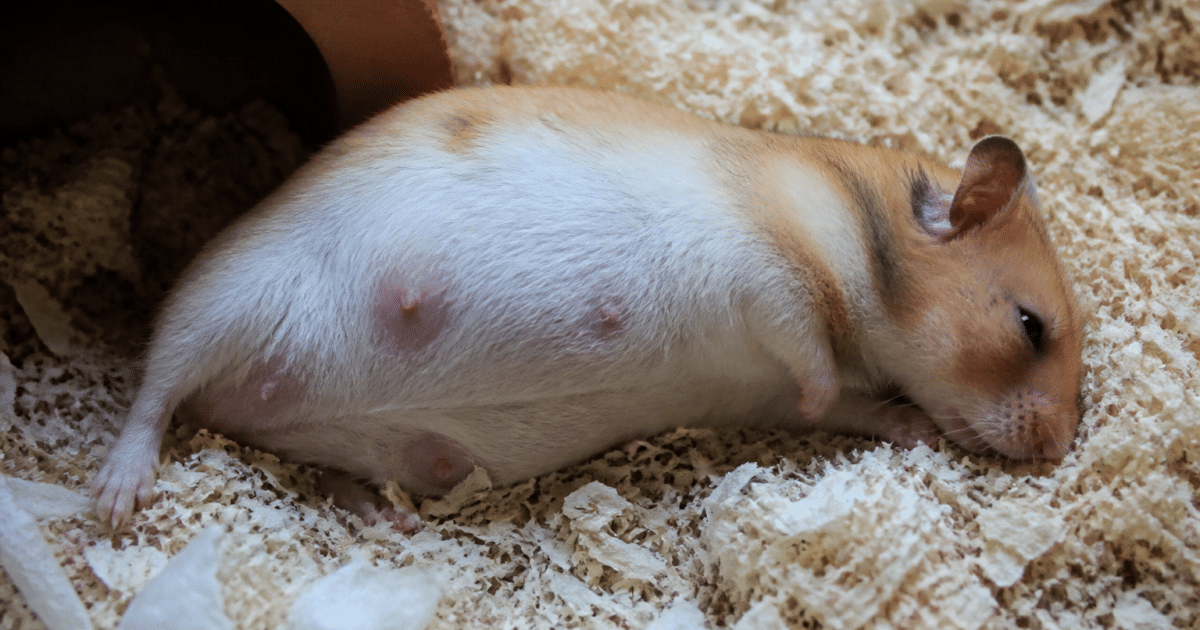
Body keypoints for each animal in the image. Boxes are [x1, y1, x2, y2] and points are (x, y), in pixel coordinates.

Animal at [93, 85, 1084, 529]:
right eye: (1030, 326)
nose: (1057, 453)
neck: (866, 261)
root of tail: (238, 402)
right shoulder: (766, 271)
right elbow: (809, 360)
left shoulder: (787, 385)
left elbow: (847, 405)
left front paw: (910, 426)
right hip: (222, 299)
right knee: (153, 395)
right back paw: (115, 498)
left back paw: (384, 514)